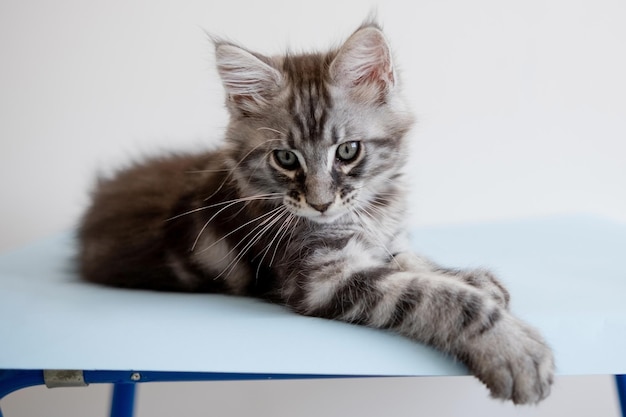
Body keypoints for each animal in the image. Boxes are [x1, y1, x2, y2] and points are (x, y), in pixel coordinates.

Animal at [78, 21, 552, 402]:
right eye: (286, 159)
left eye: (347, 151)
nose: (321, 203)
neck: (367, 211)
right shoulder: (322, 276)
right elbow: (435, 295)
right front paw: (513, 348)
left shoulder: (382, 240)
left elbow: (414, 261)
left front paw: (472, 277)